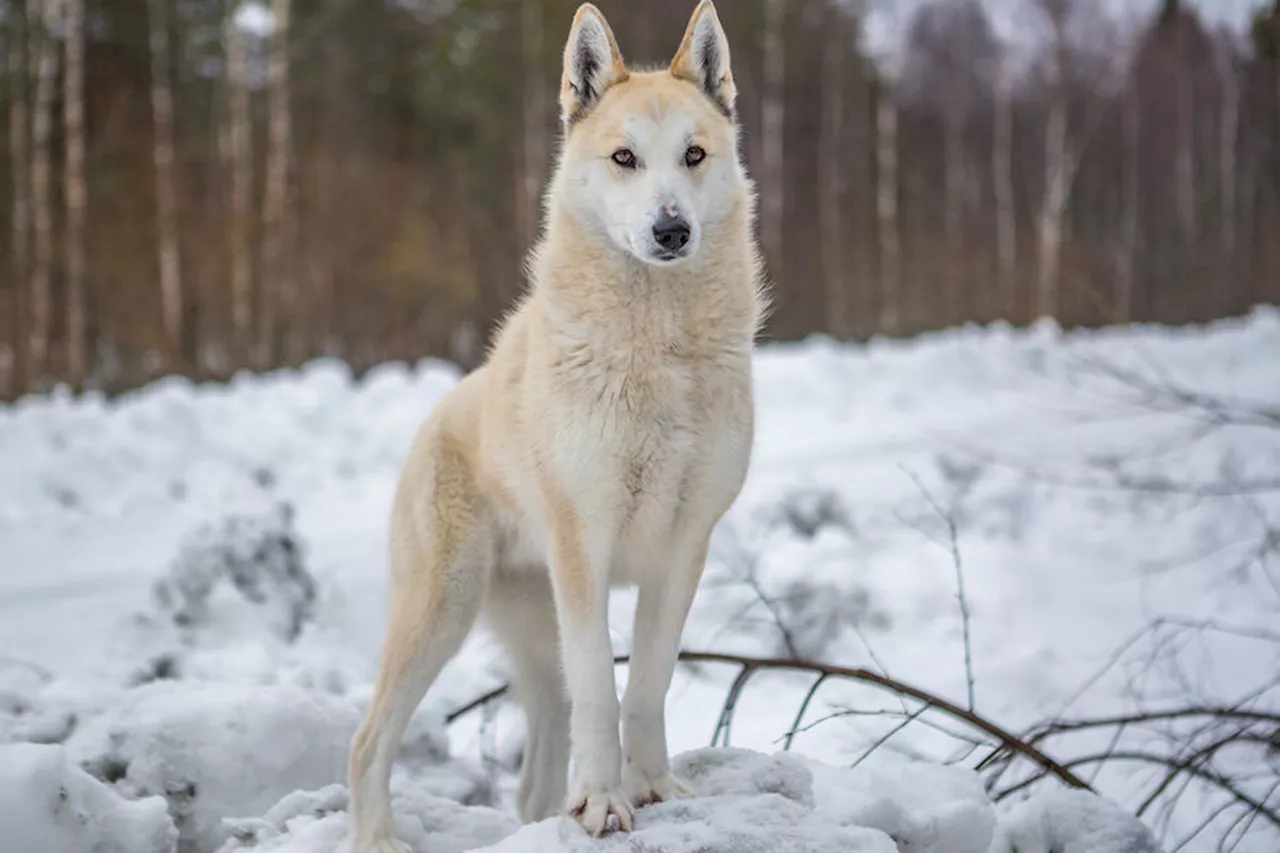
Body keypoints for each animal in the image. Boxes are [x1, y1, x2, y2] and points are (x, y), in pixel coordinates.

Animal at [348, 1, 768, 845]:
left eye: (695, 155)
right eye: (624, 158)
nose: (671, 230)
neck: (657, 350)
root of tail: (434, 418)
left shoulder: (683, 550)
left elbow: (646, 686)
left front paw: (655, 789)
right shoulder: (586, 549)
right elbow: (604, 694)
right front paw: (605, 802)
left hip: (534, 645)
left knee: (532, 775)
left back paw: (545, 813)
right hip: (441, 612)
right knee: (367, 738)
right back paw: (377, 834)